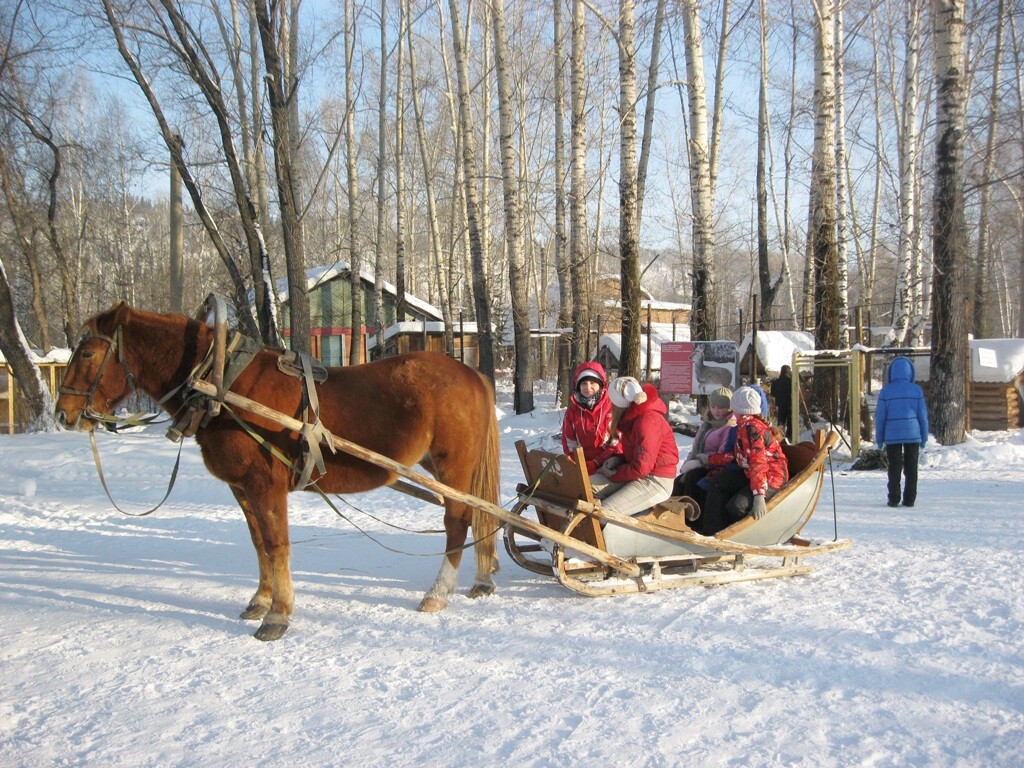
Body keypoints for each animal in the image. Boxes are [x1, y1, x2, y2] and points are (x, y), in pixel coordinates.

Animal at [54, 303, 501, 638]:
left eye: (88, 354)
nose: (63, 414)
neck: (222, 384)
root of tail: (470, 372)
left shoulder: (264, 486)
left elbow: (277, 544)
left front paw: (278, 615)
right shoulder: (241, 488)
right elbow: (259, 544)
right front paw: (261, 600)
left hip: (453, 465)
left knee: (458, 521)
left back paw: (438, 592)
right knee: (481, 516)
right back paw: (482, 579)